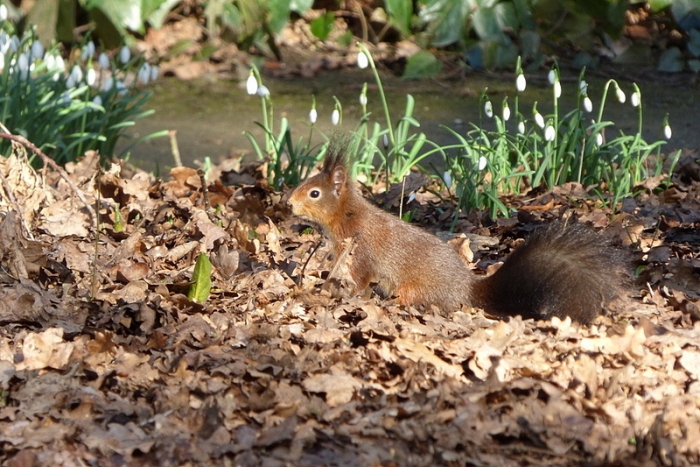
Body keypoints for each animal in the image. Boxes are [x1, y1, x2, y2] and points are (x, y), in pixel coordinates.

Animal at [288, 145, 626, 323]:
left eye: (315, 193)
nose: (289, 203)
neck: (346, 215)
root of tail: (466, 291)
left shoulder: (361, 251)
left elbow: (359, 279)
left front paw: (344, 296)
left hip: (414, 289)